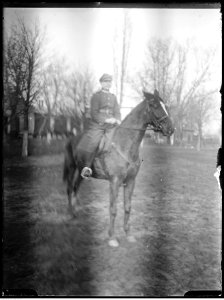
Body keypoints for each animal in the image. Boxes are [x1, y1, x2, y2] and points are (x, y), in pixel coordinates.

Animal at [63, 90, 175, 247]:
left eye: (165, 106)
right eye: (154, 105)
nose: (171, 129)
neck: (124, 144)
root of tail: (72, 138)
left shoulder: (131, 181)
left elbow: (127, 207)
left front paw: (128, 234)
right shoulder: (114, 181)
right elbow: (113, 209)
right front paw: (112, 237)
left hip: (81, 172)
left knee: (75, 187)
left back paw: (77, 209)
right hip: (71, 168)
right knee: (69, 188)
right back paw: (71, 213)